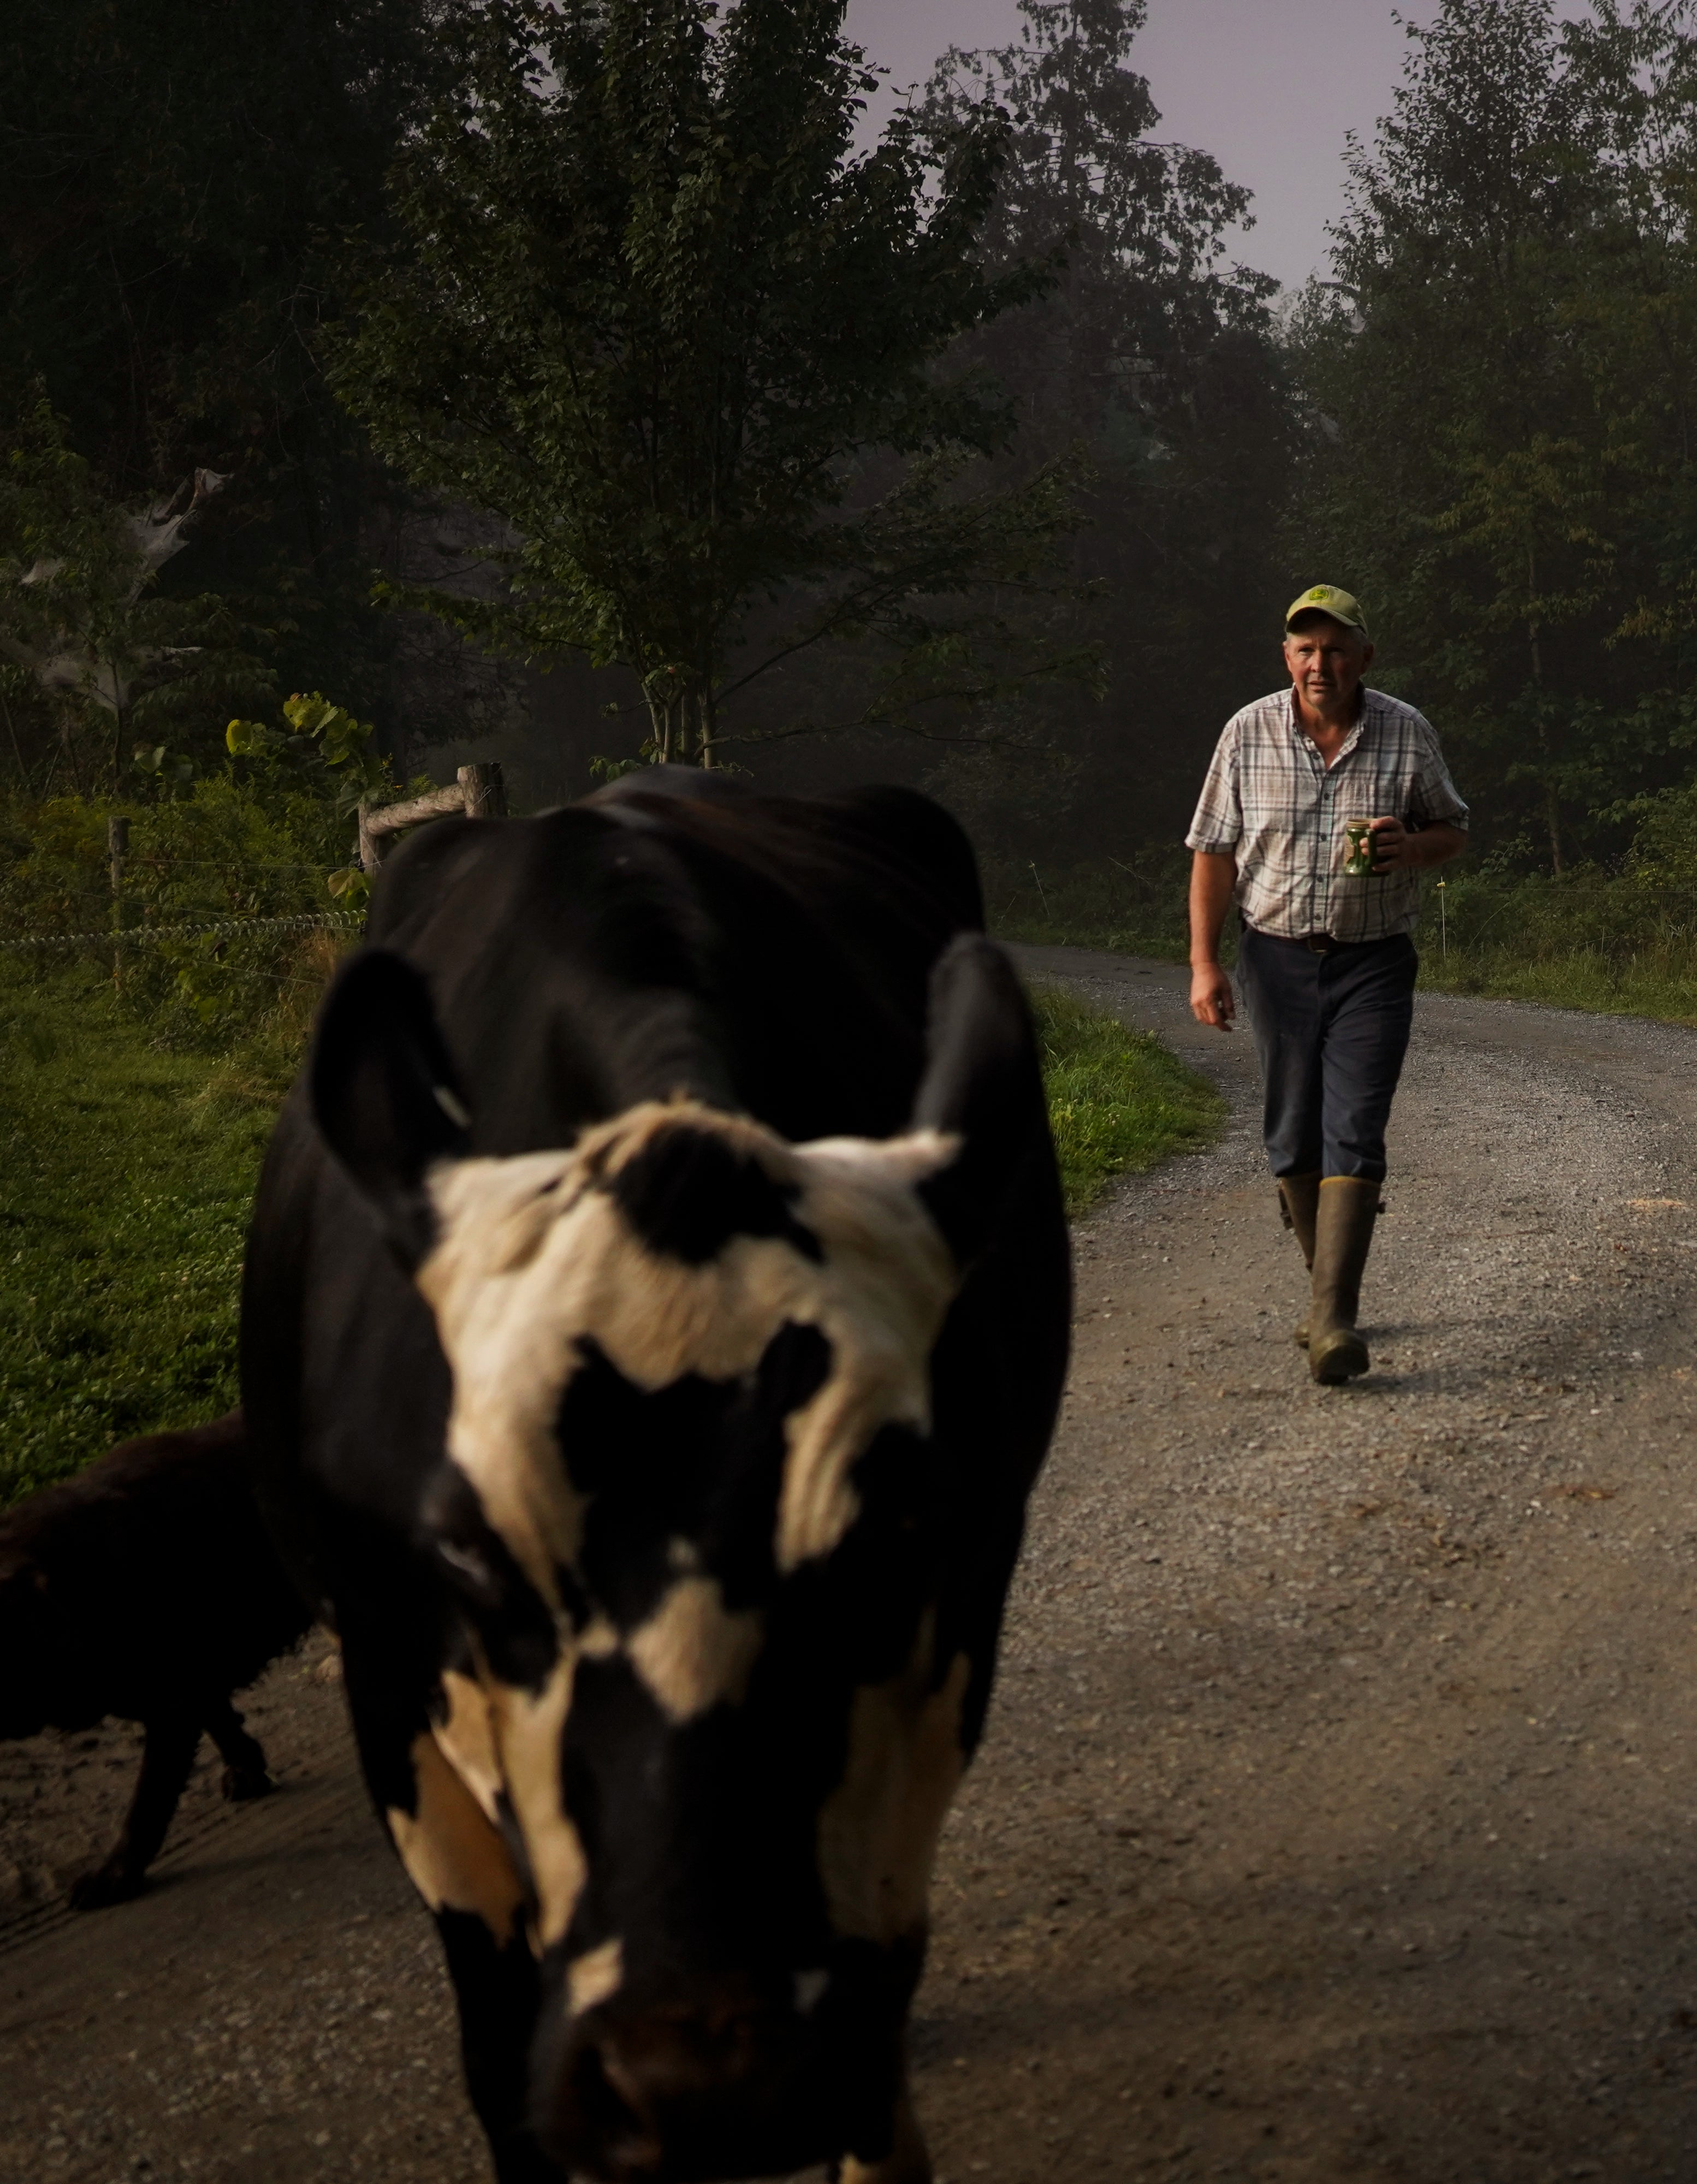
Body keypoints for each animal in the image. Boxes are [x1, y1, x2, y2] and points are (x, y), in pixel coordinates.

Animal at [0, 1406, 310, 1904]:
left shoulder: (171, 1704)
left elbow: (145, 1803)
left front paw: (113, 1876)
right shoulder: (189, 1682)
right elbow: (221, 1721)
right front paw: (247, 1770)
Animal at [245, 786, 1066, 2184]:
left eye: (907, 1520)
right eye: (464, 1549)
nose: (703, 2078)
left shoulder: (953, 1631)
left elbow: (882, 1959)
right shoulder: (383, 1676)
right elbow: (495, 2040)